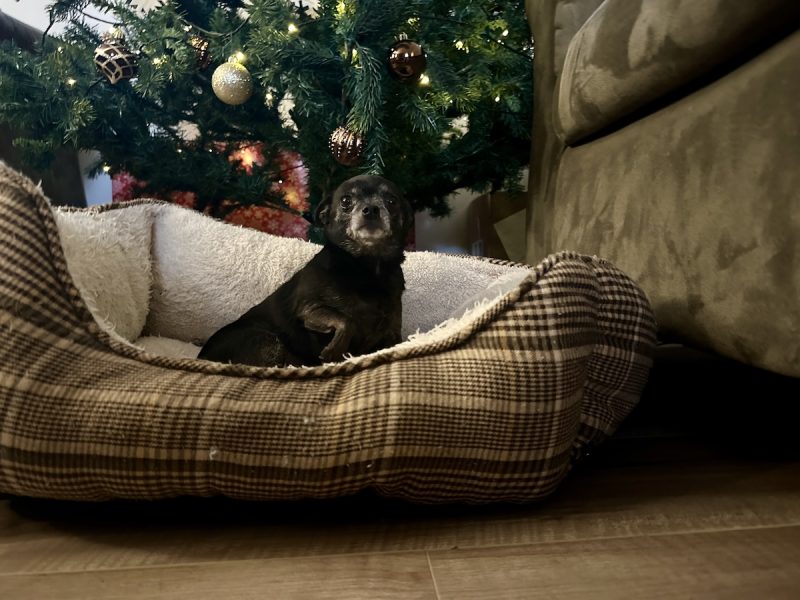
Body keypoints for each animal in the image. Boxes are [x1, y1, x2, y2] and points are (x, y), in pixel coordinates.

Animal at [198, 175, 412, 366]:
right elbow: (346, 320)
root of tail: (202, 356)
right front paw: (334, 351)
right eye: (345, 201)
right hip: (268, 342)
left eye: (392, 201)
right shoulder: (308, 309)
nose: (371, 210)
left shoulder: (392, 333)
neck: (366, 267)